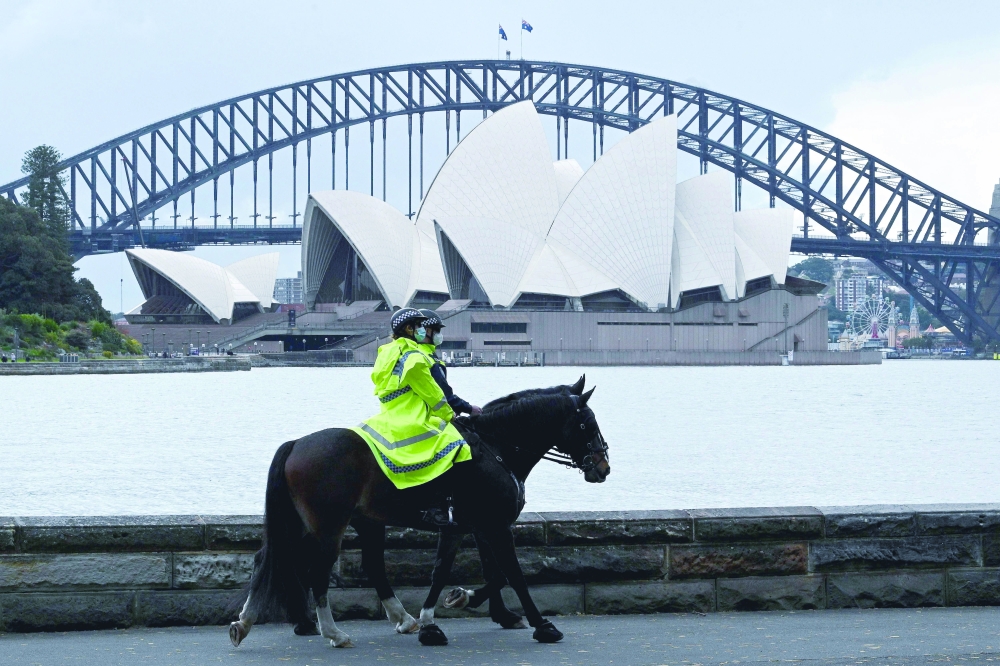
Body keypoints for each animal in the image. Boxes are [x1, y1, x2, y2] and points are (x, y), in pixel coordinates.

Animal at [228, 378, 610, 648]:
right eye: (588, 424)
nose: (603, 466)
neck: (495, 448)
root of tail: (297, 443)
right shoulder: (494, 525)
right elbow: (512, 573)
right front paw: (542, 625)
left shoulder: (468, 527)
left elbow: (461, 572)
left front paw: (446, 612)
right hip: (328, 527)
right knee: (317, 573)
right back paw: (333, 632)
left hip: (322, 523)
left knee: (274, 559)